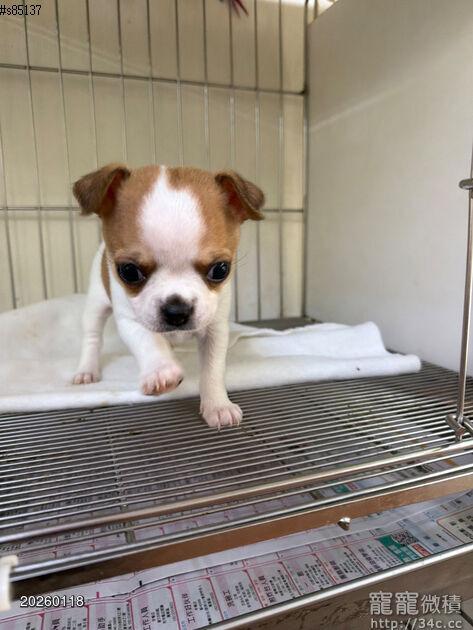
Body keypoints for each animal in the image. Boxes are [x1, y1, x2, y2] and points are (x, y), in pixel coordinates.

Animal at [72, 164, 265, 428]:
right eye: (128, 271)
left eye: (221, 269)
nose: (177, 311)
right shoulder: (132, 321)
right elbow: (149, 343)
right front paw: (161, 372)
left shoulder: (215, 327)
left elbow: (213, 369)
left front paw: (218, 405)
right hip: (96, 303)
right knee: (92, 337)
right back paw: (87, 370)